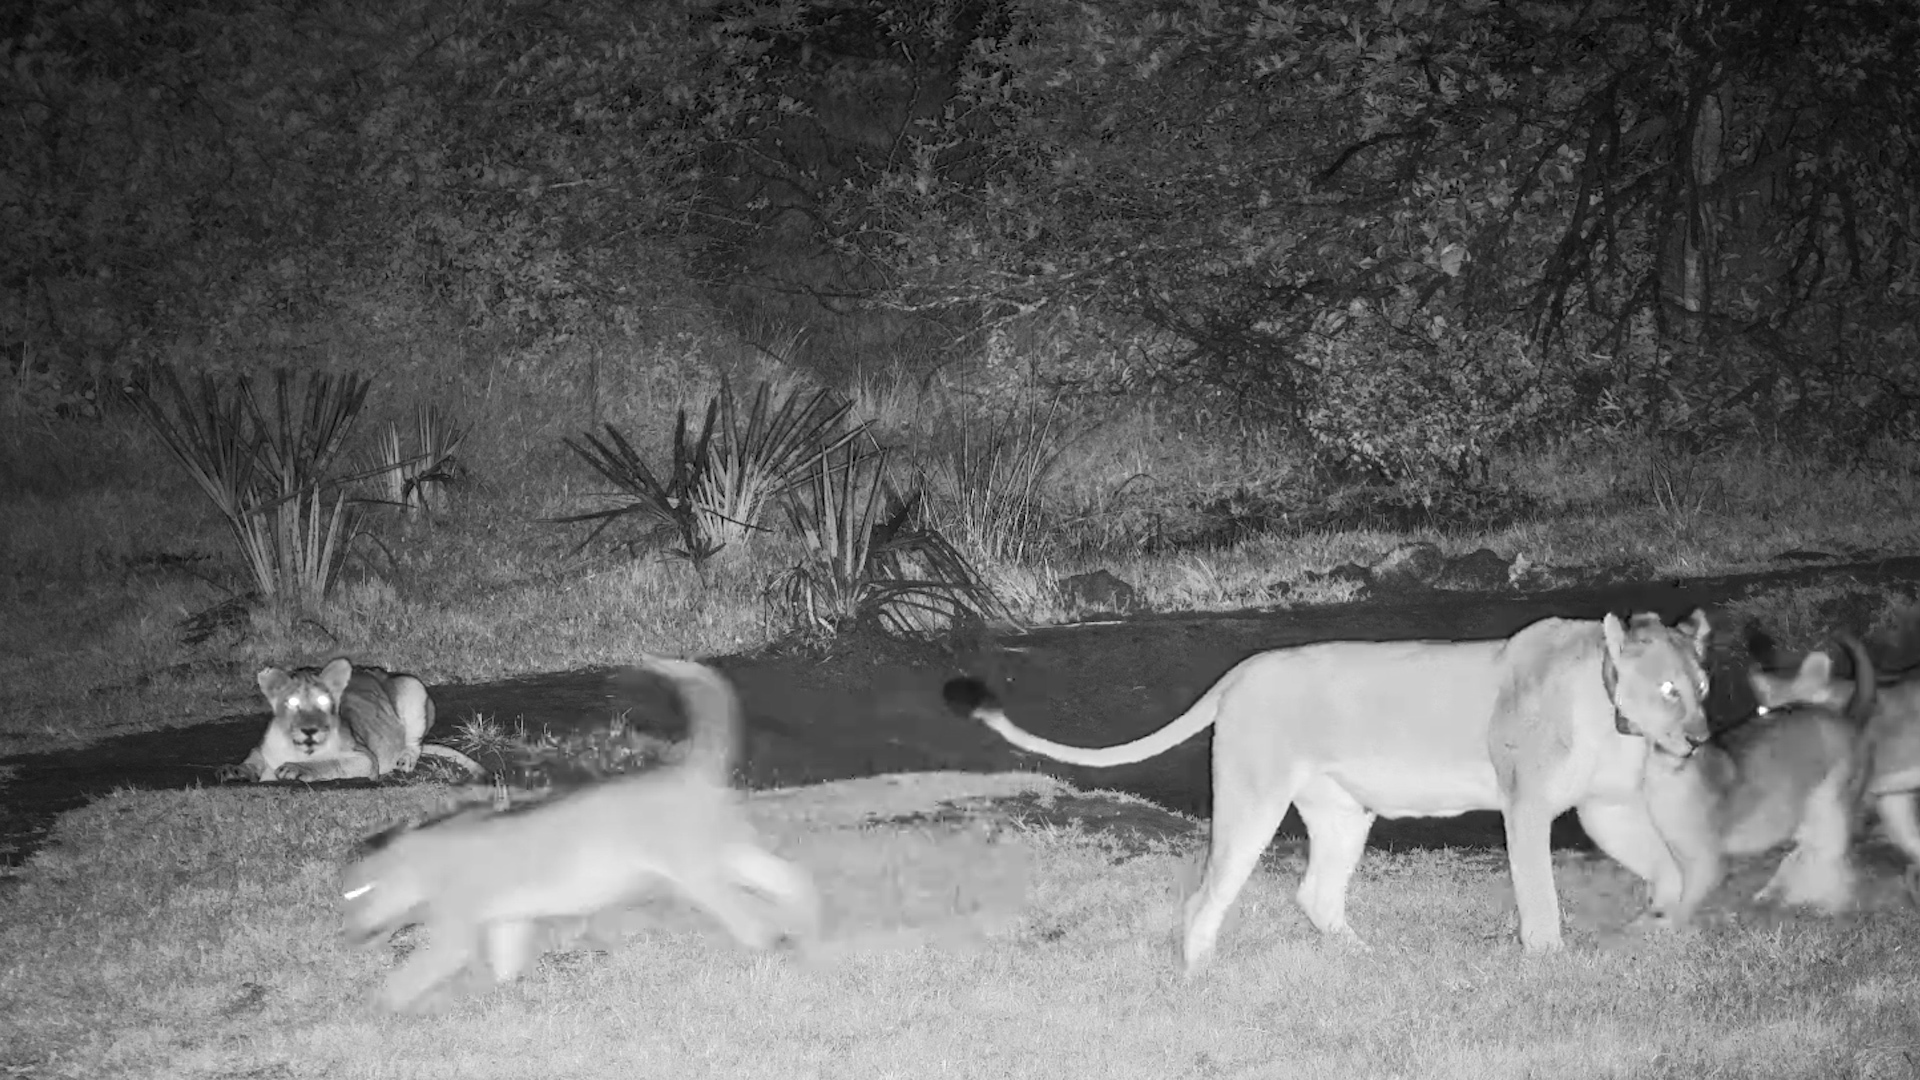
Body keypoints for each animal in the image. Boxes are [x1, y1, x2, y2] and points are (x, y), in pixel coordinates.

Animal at [219, 657, 482, 783]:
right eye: (292, 702)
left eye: (324, 701)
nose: (309, 729)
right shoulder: (264, 748)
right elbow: (254, 757)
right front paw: (236, 770)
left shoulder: (365, 759)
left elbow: (330, 763)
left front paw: (296, 769)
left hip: (411, 686)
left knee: (414, 743)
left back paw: (405, 760)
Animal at [339, 655, 819, 1013]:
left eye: (356, 894)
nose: (346, 935)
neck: (427, 855)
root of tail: (688, 770)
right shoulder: (507, 916)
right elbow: (506, 955)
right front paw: (505, 989)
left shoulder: (457, 923)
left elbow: (422, 967)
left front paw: (380, 1003)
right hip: (722, 850)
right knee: (780, 875)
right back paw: (804, 908)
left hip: (695, 871)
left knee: (741, 908)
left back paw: (763, 938)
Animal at [944, 610, 1713, 973]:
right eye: (1669, 689)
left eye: (1701, 686)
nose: (1701, 738)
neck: (1609, 711)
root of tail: (1244, 668)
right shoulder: (1525, 805)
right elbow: (1540, 895)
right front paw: (1550, 963)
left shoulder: (1607, 808)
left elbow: (1671, 868)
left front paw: (1659, 929)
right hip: (1254, 798)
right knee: (1206, 893)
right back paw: (1198, 974)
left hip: (1344, 813)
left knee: (1315, 894)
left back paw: (1367, 960)